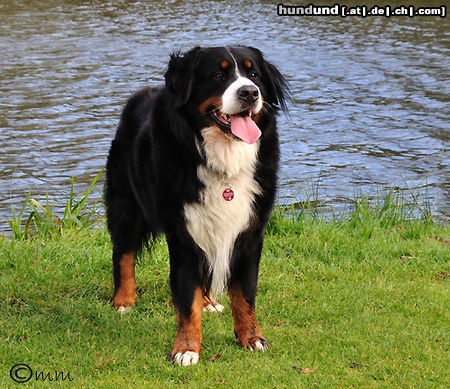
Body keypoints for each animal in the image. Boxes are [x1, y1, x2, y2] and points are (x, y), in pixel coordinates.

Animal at [104, 45, 288, 364]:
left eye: (253, 74)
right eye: (218, 75)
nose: (250, 93)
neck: (223, 158)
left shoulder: (250, 232)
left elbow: (245, 294)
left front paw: (252, 338)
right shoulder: (183, 233)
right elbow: (185, 299)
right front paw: (186, 349)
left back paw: (208, 301)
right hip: (125, 204)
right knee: (123, 253)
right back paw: (124, 301)